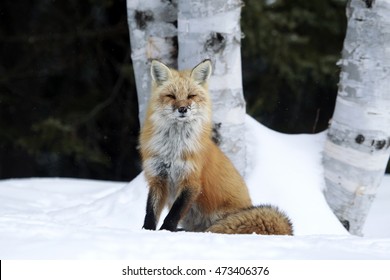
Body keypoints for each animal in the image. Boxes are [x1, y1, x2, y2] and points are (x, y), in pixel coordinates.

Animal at [140, 60, 292, 235]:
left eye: (191, 96)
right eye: (171, 96)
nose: (183, 109)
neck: (173, 149)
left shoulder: (191, 180)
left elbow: (173, 215)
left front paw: (166, 232)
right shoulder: (157, 177)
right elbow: (150, 213)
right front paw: (147, 232)